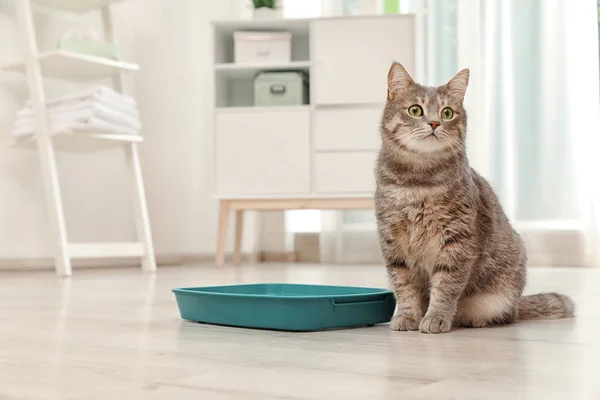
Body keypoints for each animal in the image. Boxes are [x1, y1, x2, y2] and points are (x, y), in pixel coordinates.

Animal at [376, 61, 576, 332]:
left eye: (447, 113)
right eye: (415, 110)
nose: (434, 124)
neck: (418, 181)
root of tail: (516, 304)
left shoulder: (458, 240)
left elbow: (446, 285)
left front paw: (436, 317)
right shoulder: (393, 241)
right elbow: (404, 285)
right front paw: (407, 316)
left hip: (500, 295)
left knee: (502, 315)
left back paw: (474, 319)